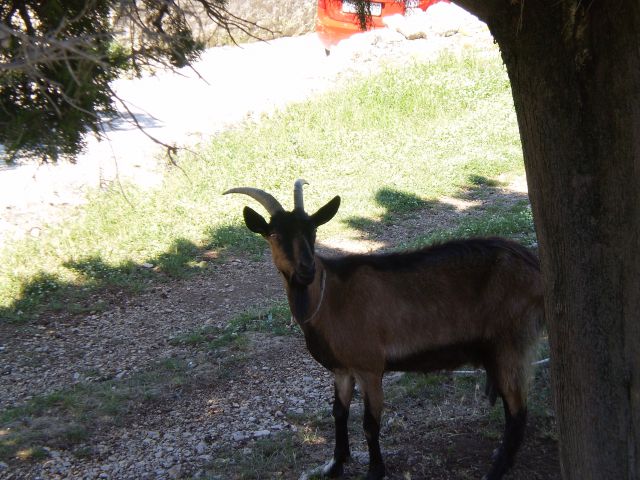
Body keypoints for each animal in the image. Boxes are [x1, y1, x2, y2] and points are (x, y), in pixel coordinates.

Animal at [222, 180, 544, 480]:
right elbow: (339, 413)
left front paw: (375, 470)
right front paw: (335, 464)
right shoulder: (342, 369)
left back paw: (495, 470)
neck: (330, 297)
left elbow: (370, 422)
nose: (306, 270)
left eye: (312, 232)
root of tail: (534, 265)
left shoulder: (369, 367)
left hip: (511, 340)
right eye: (275, 235)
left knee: (518, 411)